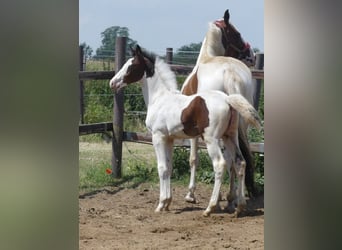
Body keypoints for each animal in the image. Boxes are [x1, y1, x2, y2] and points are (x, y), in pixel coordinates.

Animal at [111, 45, 260, 217]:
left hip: (212, 139)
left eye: (130, 66)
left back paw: (210, 207)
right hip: (230, 136)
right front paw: (167, 203)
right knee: (240, 162)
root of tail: (228, 100)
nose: (112, 83)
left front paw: (160, 204)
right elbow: (169, 167)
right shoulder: (169, 139)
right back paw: (239, 206)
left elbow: (162, 168)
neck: (159, 99)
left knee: (220, 164)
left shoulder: (158, 137)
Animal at [180, 8, 258, 203]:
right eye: (237, 34)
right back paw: (234, 196)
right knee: (236, 158)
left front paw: (190, 194)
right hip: (238, 124)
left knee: (226, 158)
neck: (207, 58)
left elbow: (194, 158)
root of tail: (229, 72)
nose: (253, 55)